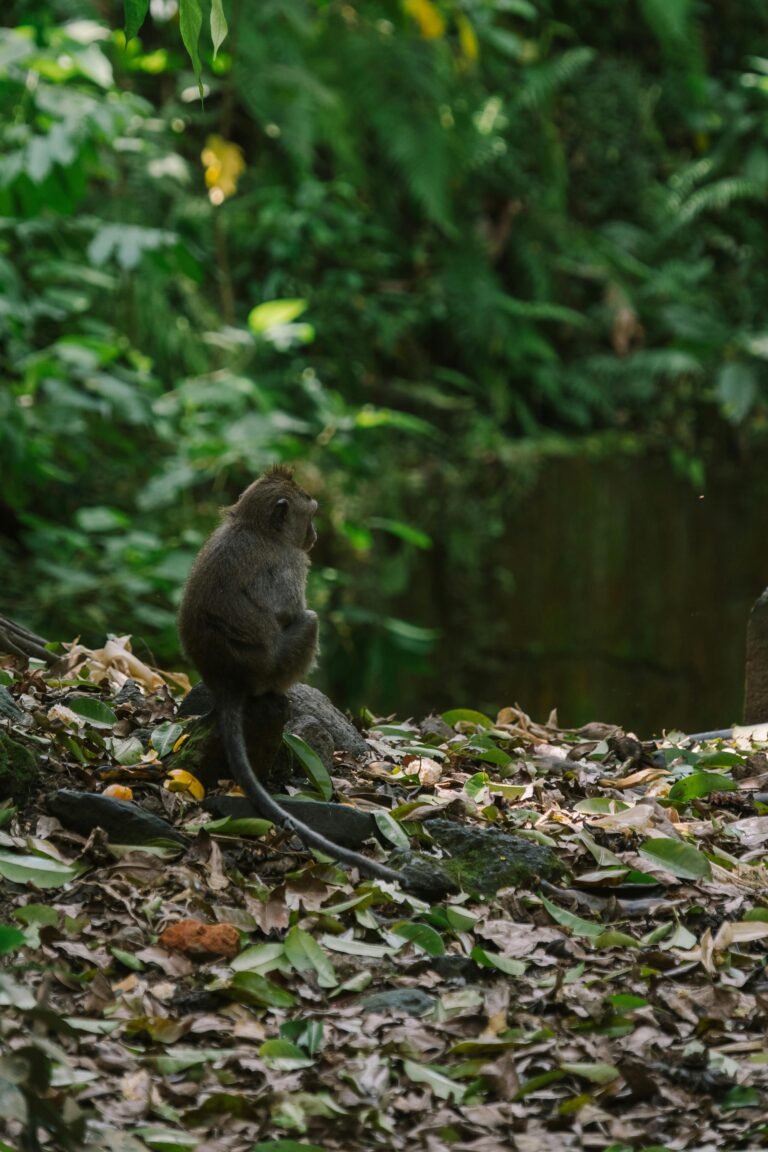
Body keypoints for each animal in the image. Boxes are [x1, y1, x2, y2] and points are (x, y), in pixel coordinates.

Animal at [178, 466, 408, 886]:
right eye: (311, 514)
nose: (313, 535)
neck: (254, 526)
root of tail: (228, 682)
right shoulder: (291, 563)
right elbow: (288, 611)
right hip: (273, 668)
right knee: (309, 621)